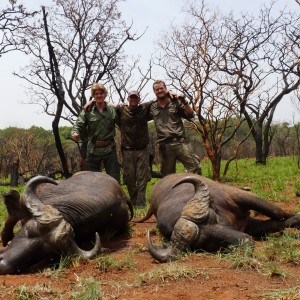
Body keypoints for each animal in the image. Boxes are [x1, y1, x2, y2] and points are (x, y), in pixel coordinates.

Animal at [138, 173, 300, 262]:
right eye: (205, 241)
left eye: (213, 217)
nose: (246, 241)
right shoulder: (248, 225)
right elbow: (275, 223)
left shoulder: (237, 196)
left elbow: (277, 212)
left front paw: (296, 217)